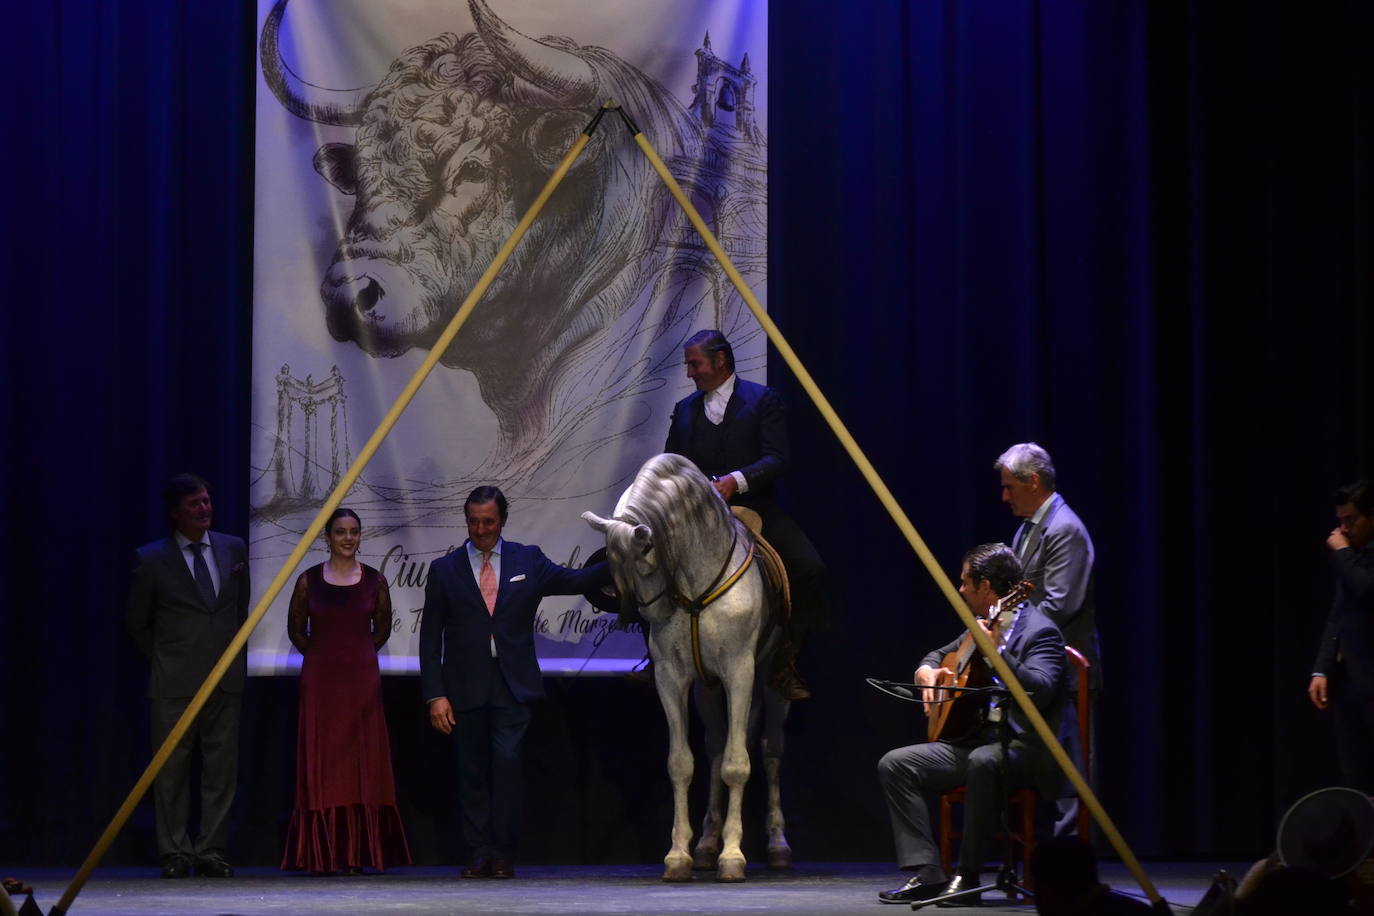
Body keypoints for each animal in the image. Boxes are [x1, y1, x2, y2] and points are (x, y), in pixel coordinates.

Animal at [582, 455, 796, 884]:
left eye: (646, 560)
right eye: (611, 566)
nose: (650, 615)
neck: (696, 586)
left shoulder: (739, 671)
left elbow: (737, 765)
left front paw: (733, 857)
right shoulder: (672, 677)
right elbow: (682, 764)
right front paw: (679, 855)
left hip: (769, 682)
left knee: (770, 750)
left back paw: (778, 846)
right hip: (707, 688)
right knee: (716, 748)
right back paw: (707, 845)